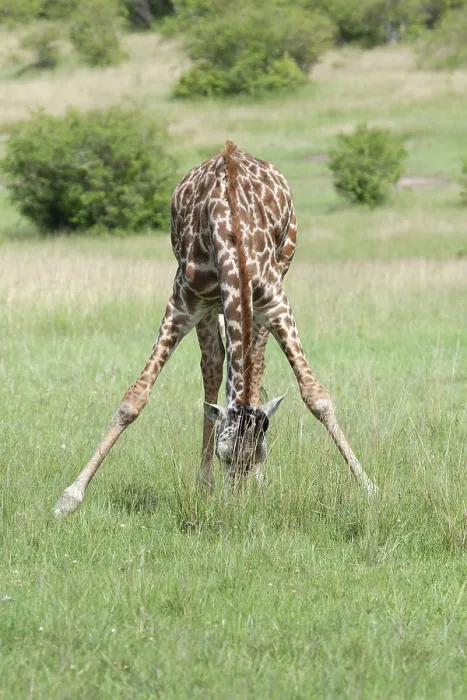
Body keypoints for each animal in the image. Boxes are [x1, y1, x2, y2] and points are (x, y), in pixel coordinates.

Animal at [54, 141, 377, 517]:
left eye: (260, 454)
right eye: (224, 456)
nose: (236, 502)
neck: (232, 233)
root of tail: (231, 149)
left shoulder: (275, 302)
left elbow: (316, 396)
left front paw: (367, 485)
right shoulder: (183, 303)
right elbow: (133, 399)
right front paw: (69, 496)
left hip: (277, 275)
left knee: (254, 364)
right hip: (209, 307)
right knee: (212, 366)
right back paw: (204, 482)